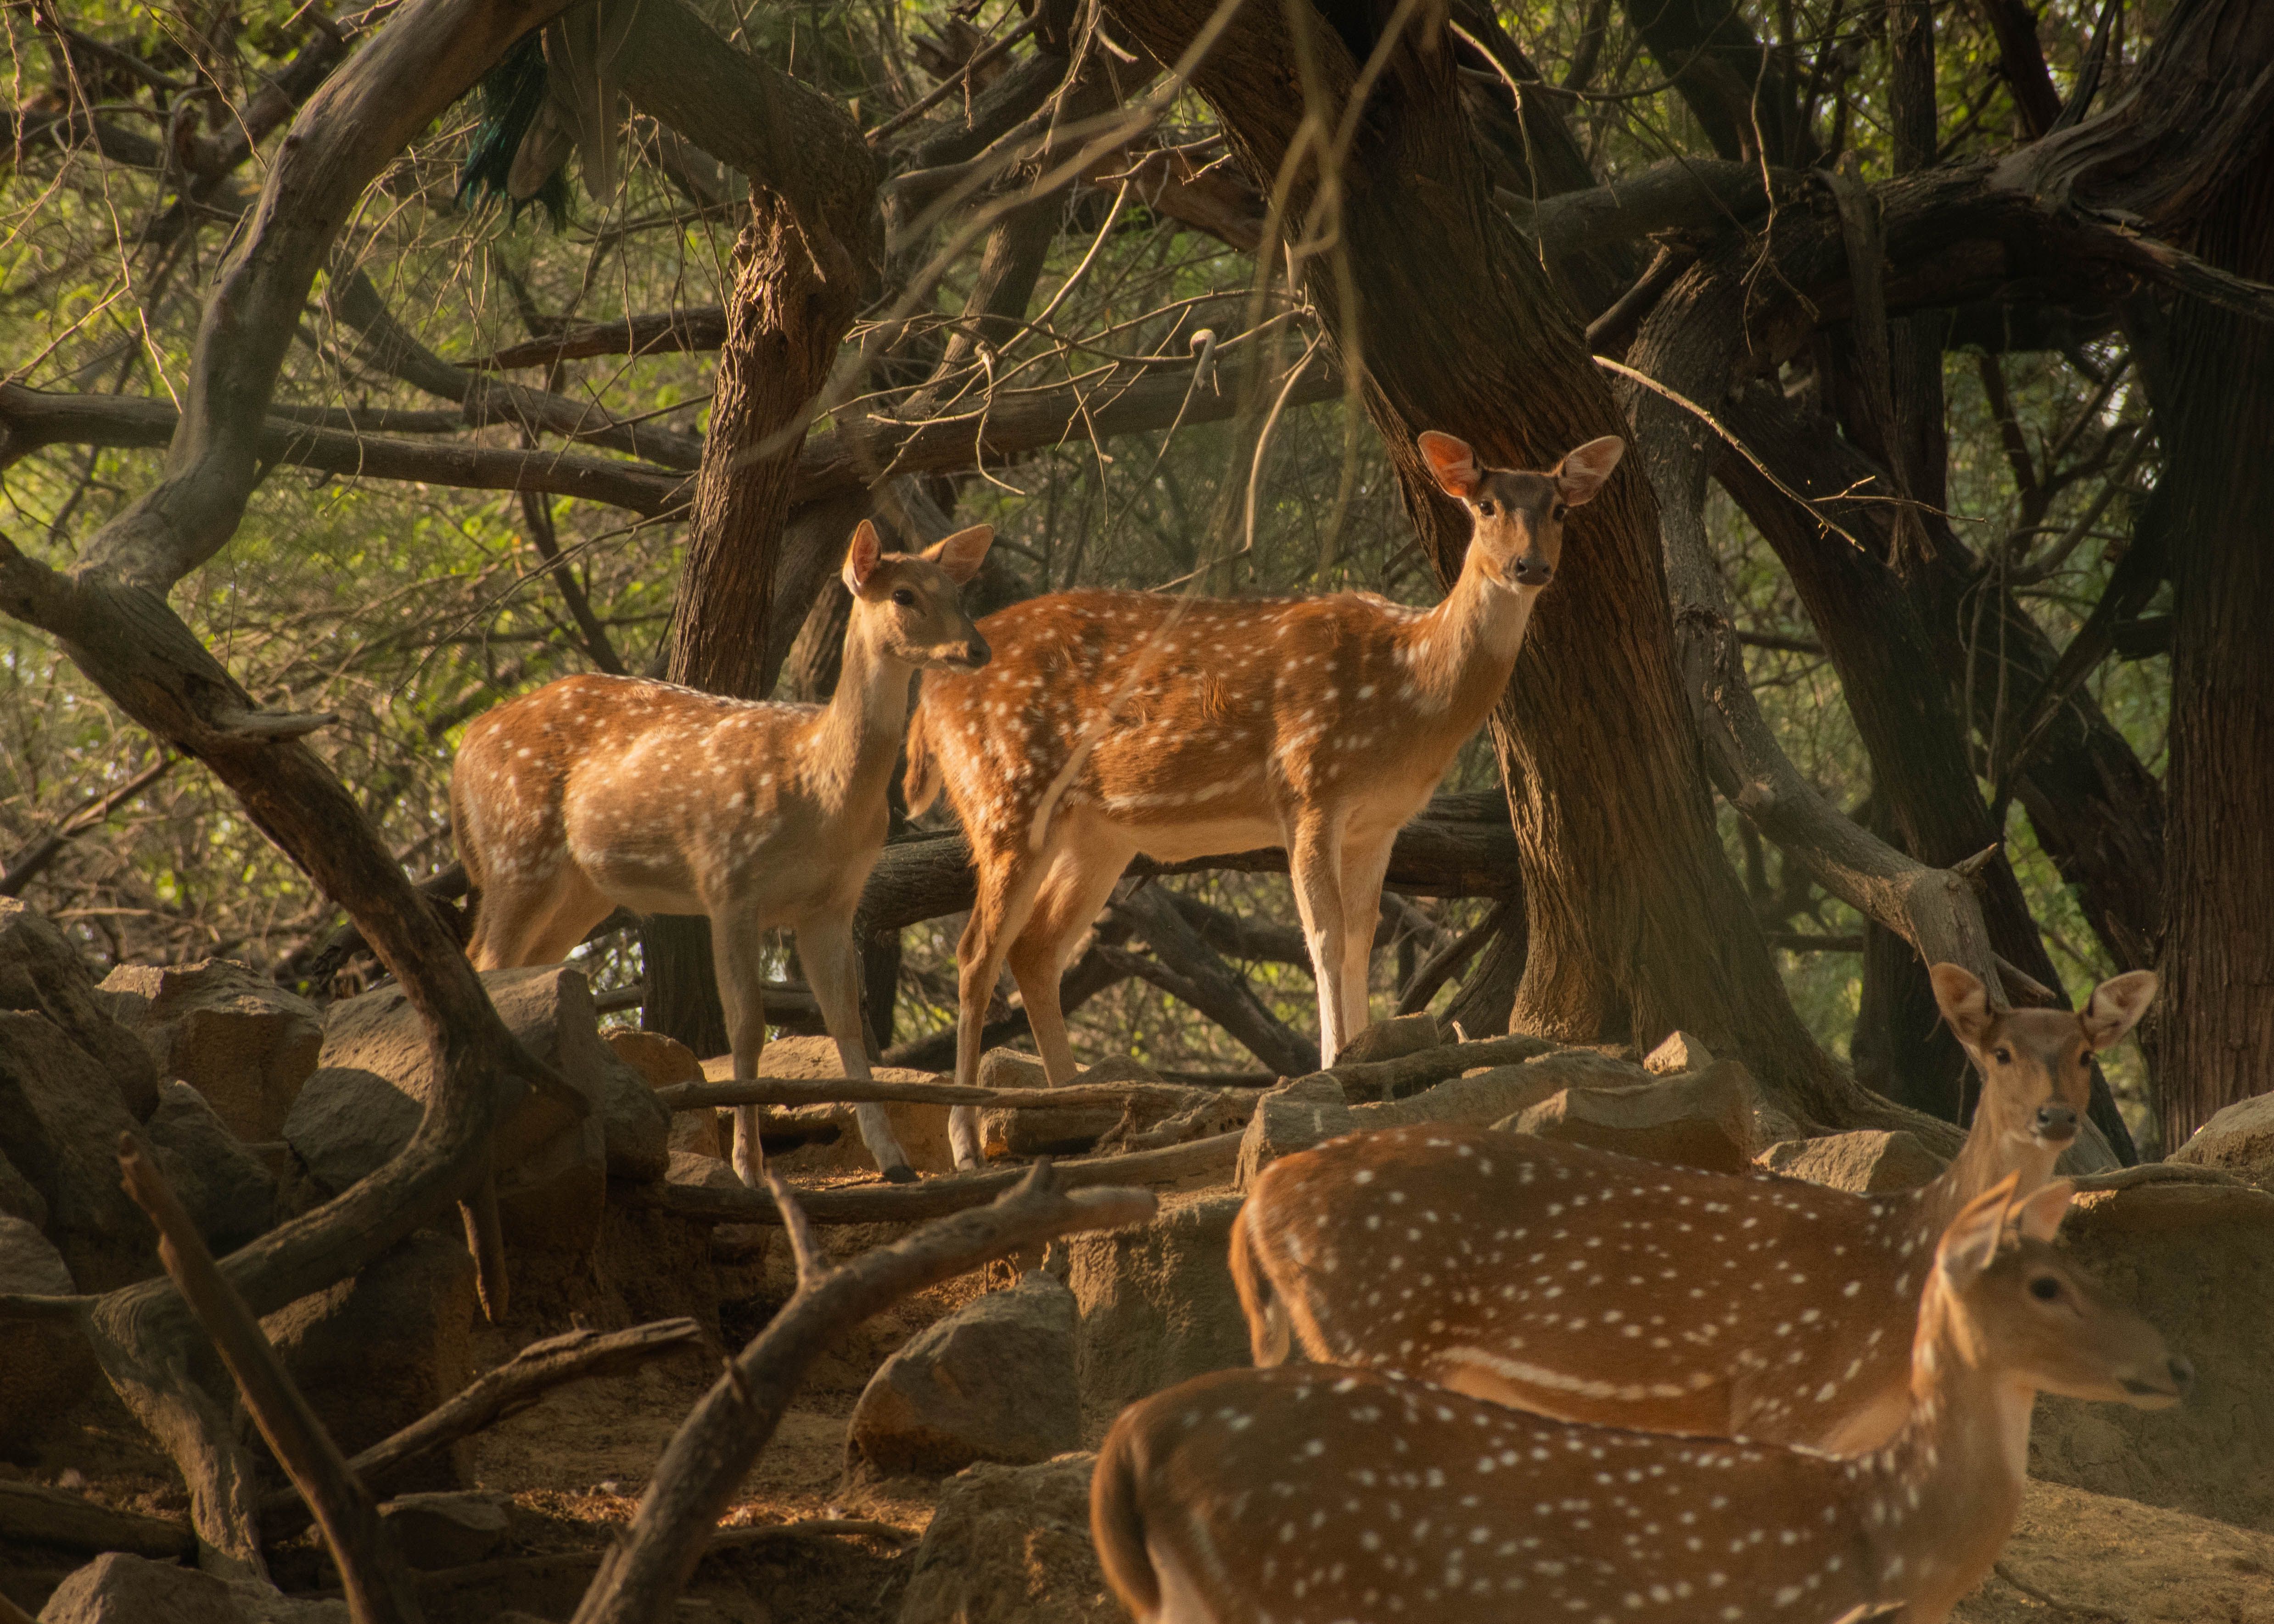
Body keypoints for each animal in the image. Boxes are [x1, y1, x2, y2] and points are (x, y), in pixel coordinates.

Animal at [451, 519, 995, 1188]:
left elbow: (845, 1018)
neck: (822, 792)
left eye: (956, 590)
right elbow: (747, 1027)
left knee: (519, 968)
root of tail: (463, 750)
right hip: (516, 850)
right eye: (904, 595)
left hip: (580, 889)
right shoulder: (730, 881)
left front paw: (894, 1161)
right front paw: (749, 1167)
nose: (977, 648)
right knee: (484, 959)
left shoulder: (832, 903)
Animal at [905, 431, 1626, 1168]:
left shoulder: (1380, 823)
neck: (1409, 693)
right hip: (1005, 791)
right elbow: (1324, 935)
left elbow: (1361, 938)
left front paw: (1367, 1065)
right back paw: (967, 1140)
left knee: (1036, 947)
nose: (1529, 565)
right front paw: (1334, 1067)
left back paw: (1070, 1104)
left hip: (1095, 831)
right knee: (975, 950)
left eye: (1559, 508)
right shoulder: (1308, 786)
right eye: (1485, 505)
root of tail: (928, 696)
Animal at [1230, 962, 2158, 1453]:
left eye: (2084, 1052)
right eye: (1998, 1051)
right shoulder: (1780, 1398)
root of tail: (1258, 1203)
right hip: (1372, 1330)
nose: (2055, 1116)